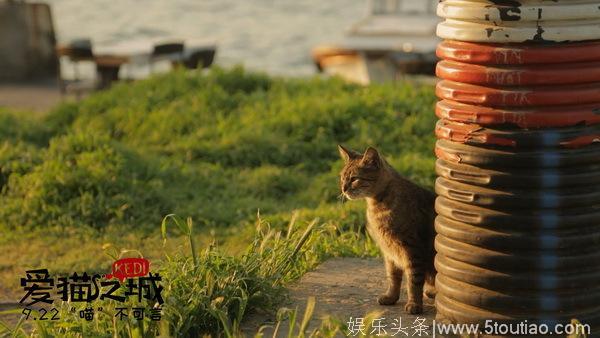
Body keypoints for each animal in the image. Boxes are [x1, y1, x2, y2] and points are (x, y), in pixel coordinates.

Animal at [338, 145, 436, 314]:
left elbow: (414, 281)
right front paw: (391, 297)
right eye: (342, 178)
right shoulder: (390, 253)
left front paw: (414, 304)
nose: (343, 189)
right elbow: (393, 278)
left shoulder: (413, 249)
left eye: (354, 178)